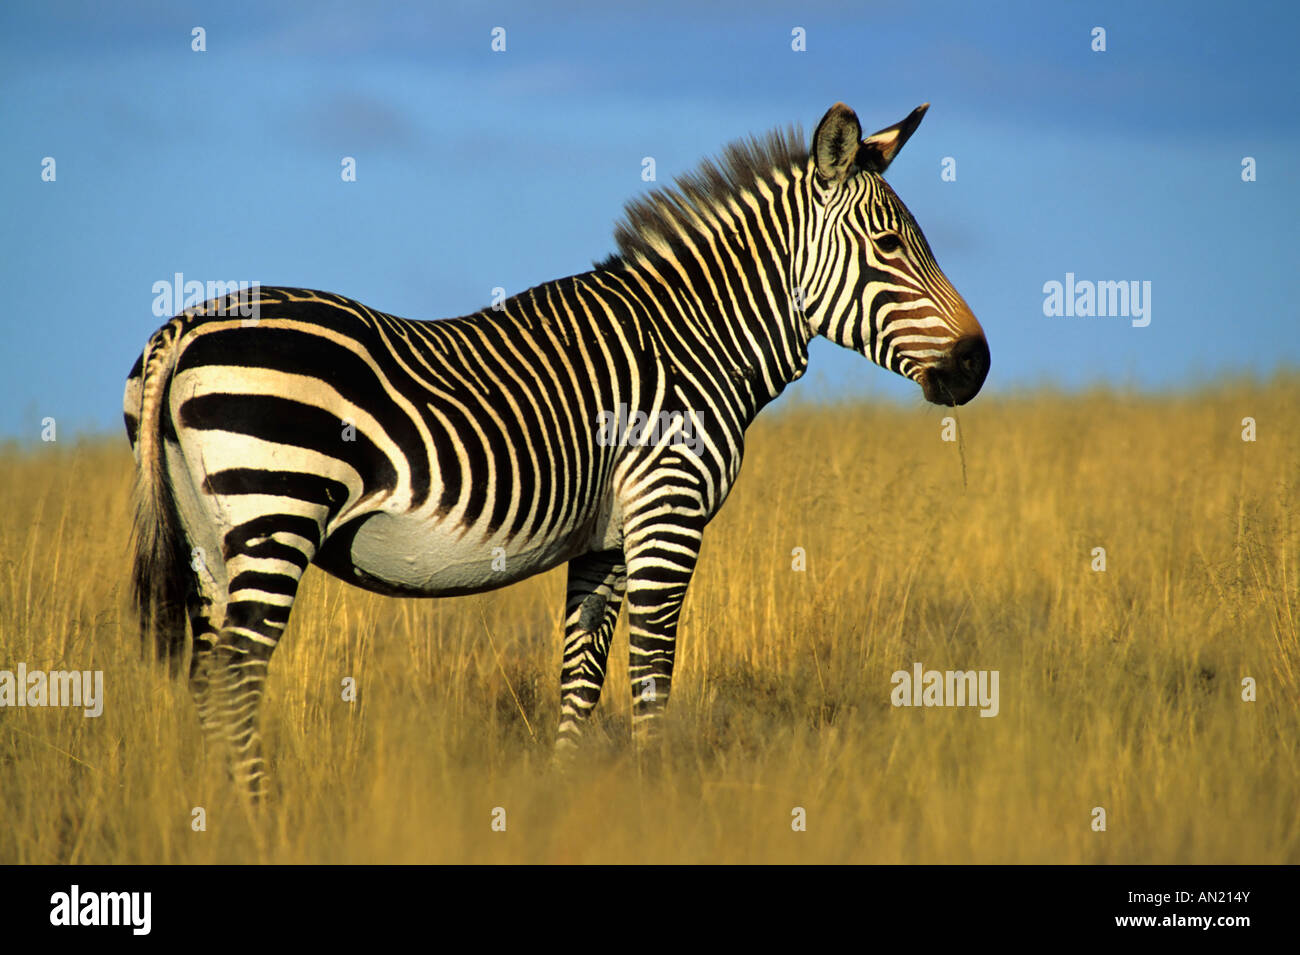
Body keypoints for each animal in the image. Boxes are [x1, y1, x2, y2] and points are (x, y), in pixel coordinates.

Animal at [126, 102, 987, 800]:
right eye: (888, 244)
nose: (977, 363)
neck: (696, 338)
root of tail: (186, 327)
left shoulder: (603, 540)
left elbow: (580, 679)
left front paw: (565, 804)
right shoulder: (667, 514)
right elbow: (651, 675)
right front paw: (658, 805)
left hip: (210, 536)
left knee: (207, 681)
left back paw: (209, 816)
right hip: (277, 505)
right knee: (236, 681)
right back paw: (259, 817)